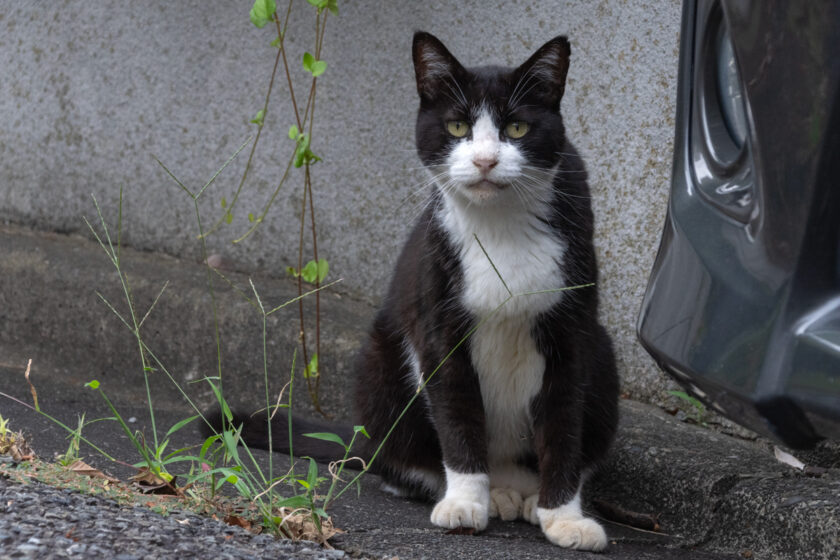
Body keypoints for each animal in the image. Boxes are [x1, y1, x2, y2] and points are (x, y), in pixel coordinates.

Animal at [210, 30, 616, 552]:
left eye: (518, 127)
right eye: (458, 125)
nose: (485, 160)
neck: (500, 225)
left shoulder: (571, 330)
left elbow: (563, 424)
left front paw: (565, 518)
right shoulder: (438, 321)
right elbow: (458, 416)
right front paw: (465, 502)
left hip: (603, 356)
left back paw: (524, 494)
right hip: (379, 361)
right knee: (402, 456)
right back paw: (489, 492)